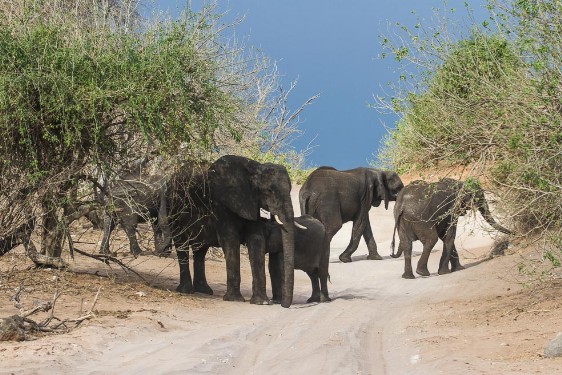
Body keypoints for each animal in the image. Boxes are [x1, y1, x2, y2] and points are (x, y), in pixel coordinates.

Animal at [208, 155, 296, 308]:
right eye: (268, 191)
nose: (283, 305)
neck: (255, 168)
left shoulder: (251, 203)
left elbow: (256, 240)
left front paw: (262, 303)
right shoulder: (221, 201)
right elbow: (230, 239)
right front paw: (234, 300)